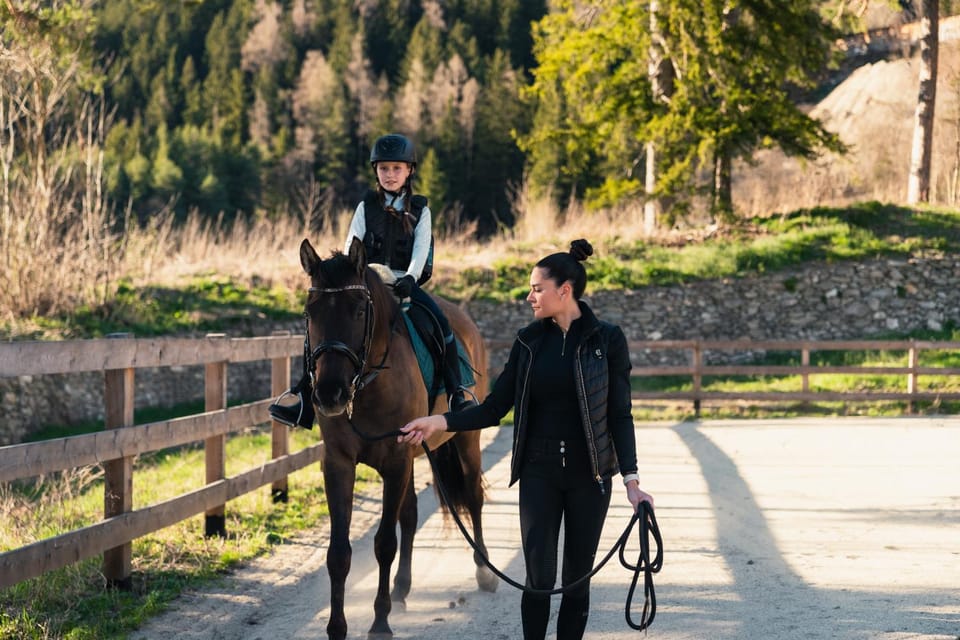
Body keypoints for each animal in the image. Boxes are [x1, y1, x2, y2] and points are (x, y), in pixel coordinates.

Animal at [298, 236, 497, 640]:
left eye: (360, 310)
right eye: (311, 312)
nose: (329, 394)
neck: (368, 386)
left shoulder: (395, 462)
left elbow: (384, 543)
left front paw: (379, 622)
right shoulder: (339, 464)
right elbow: (339, 553)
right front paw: (337, 626)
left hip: (465, 441)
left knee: (473, 495)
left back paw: (484, 571)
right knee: (410, 513)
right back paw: (401, 589)